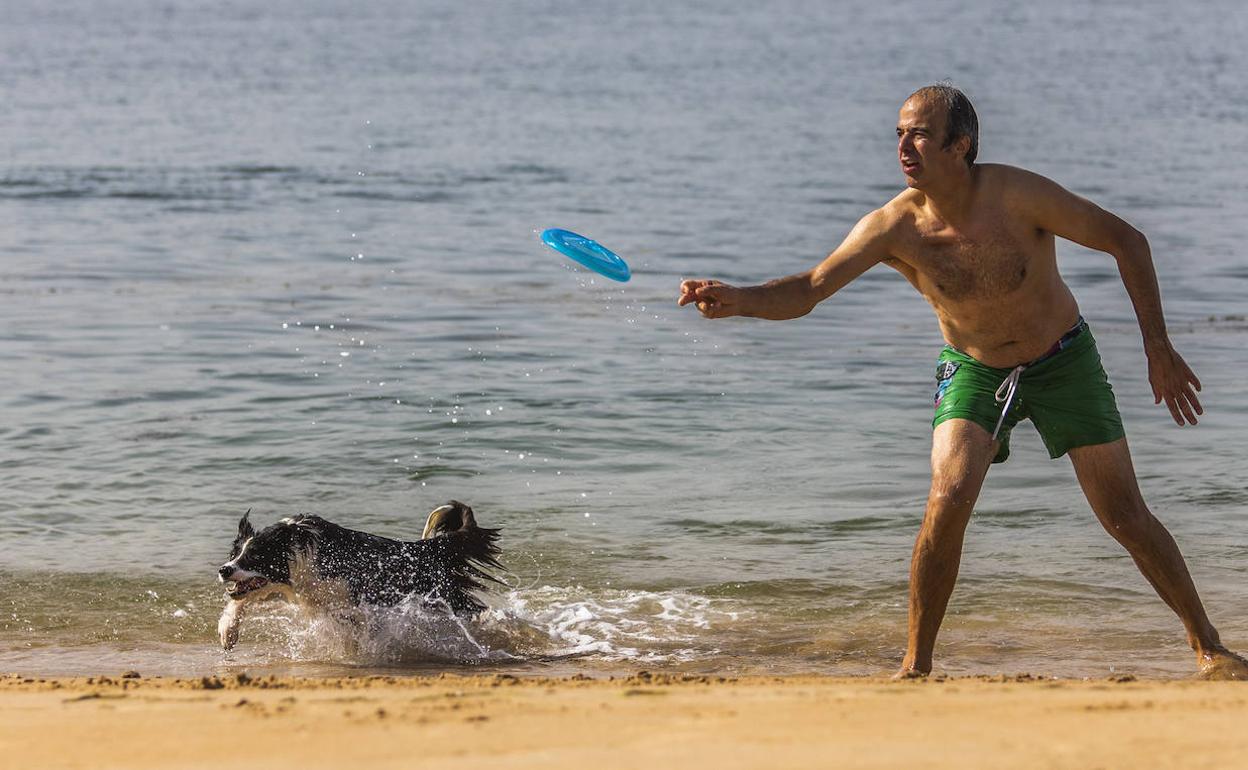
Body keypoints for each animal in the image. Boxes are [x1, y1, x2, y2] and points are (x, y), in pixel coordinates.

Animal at [217, 501, 499, 643]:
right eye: (233, 556)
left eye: (254, 557)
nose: (224, 570)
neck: (298, 545)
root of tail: (428, 549)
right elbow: (241, 600)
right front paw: (228, 631)